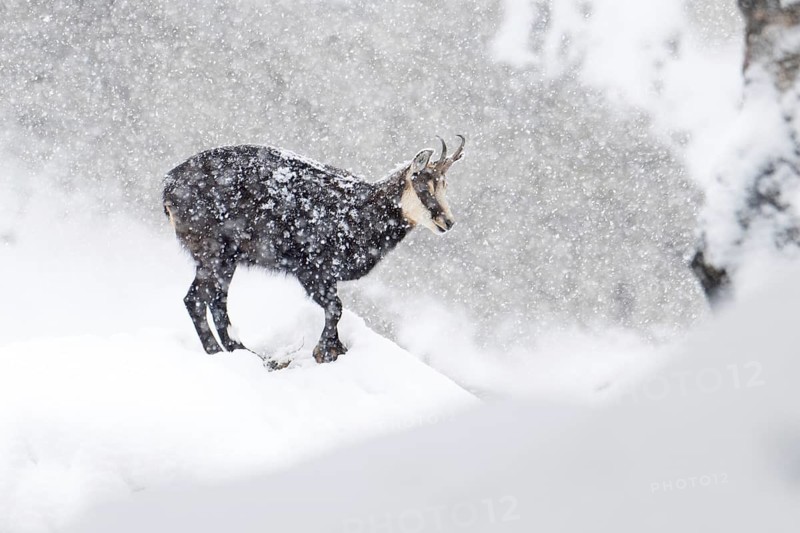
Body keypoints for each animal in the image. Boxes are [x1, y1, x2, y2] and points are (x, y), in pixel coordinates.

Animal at [163, 136, 464, 363]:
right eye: (423, 185)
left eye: (445, 185)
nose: (447, 222)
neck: (360, 214)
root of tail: (169, 185)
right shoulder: (312, 269)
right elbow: (335, 307)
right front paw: (327, 352)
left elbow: (335, 308)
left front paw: (334, 349)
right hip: (213, 251)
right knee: (196, 299)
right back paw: (220, 352)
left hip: (227, 259)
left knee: (215, 301)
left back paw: (241, 351)